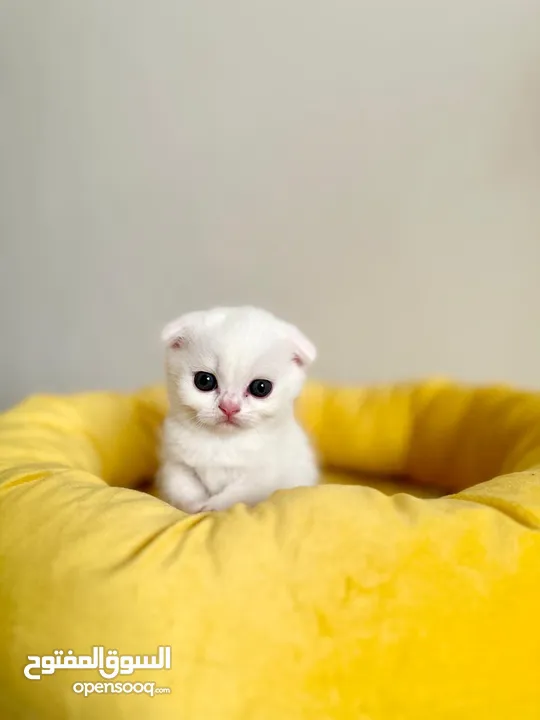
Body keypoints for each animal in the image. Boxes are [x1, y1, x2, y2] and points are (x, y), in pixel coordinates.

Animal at [156, 304, 318, 512]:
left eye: (261, 387)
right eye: (204, 381)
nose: (229, 407)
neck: (222, 442)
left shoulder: (262, 478)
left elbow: (237, 496)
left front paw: (212, 508)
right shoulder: (176, 464)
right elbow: (183, 487)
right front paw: (195, 506)